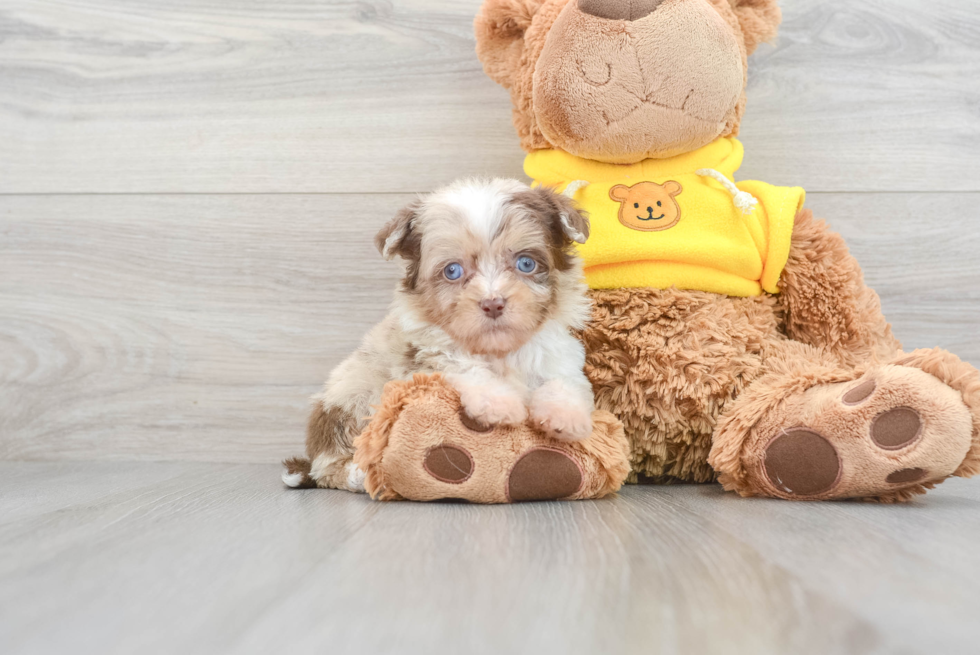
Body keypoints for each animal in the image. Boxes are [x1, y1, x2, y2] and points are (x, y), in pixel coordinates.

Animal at [280, 179, 592, 492]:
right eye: (452, 270)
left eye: (526, 263)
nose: (493, 304)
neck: (498, 351)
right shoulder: (423, 356)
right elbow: (462, 365)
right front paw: (498, 403)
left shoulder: (554, 347)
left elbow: (562, 376)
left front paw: (565, 414)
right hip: (352, 394)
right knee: (330, 464)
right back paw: (358, 473)